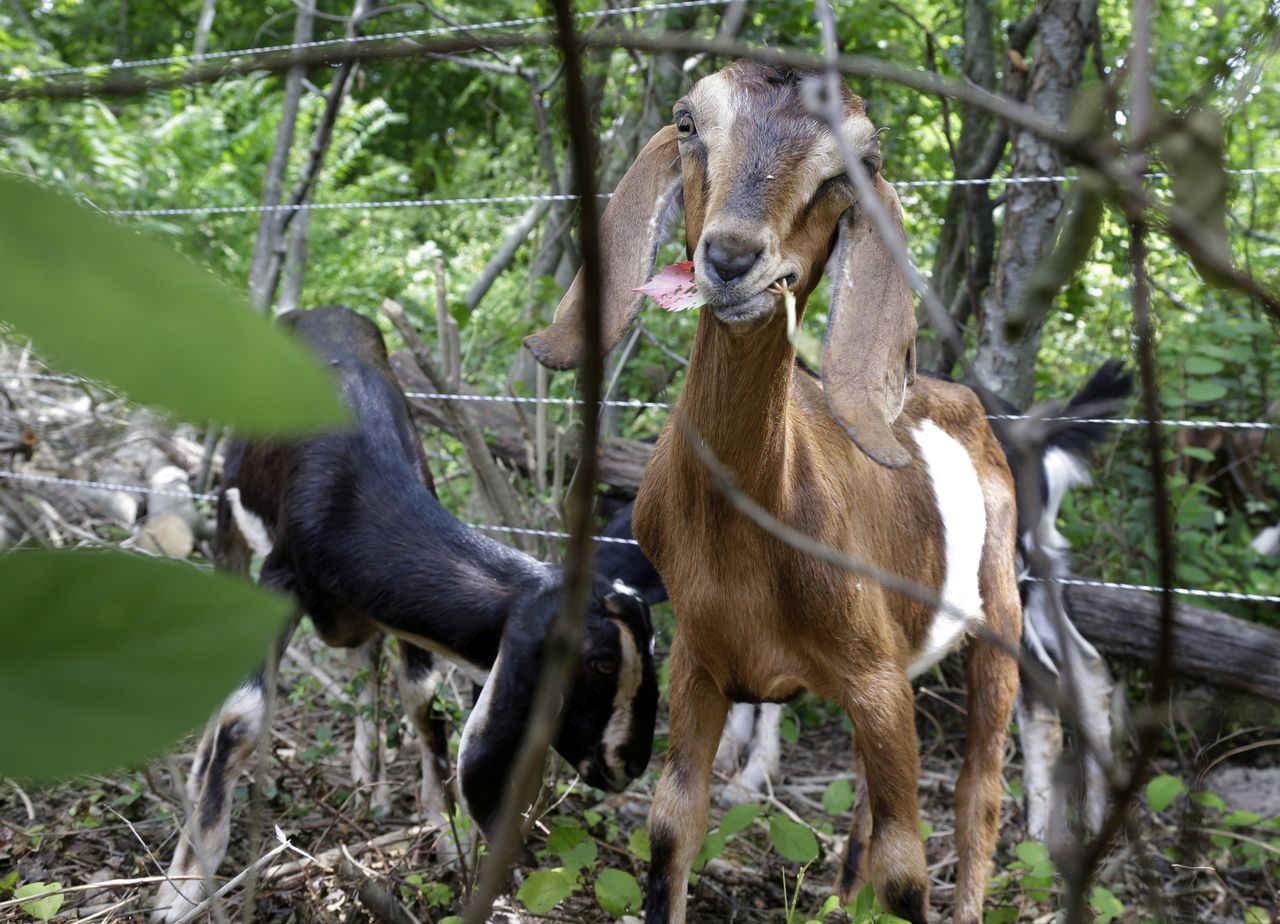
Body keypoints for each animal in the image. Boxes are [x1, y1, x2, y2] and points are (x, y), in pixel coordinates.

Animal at [157, 307, 660, 921]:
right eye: (601, 663)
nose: (630, 764)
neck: (354, 493)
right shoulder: (281, 577)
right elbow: (242, 714)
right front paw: (183, 887)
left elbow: (424, 703)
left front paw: (443, 831)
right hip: (233, 516)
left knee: (366, 661)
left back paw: (368, 777)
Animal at [527, 61, 1018, 916]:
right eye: (689, 123)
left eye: (855, 165)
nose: (729, 257)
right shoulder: (702, 660)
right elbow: (672, 824)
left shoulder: (873, 680)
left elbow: (906, 869)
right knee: (869, 798)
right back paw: (838, 901)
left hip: (1002, 620)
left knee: (978, 790)